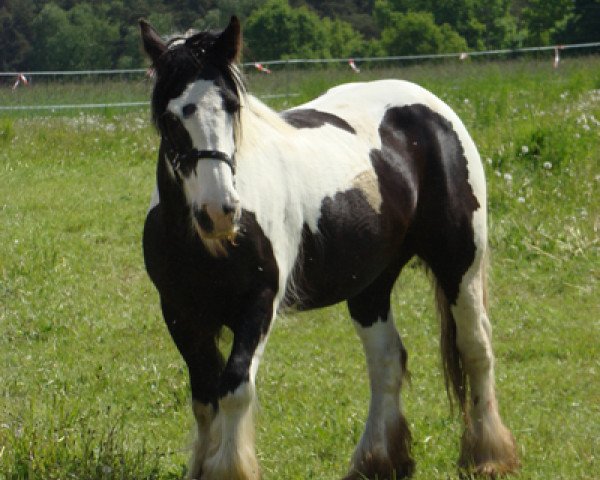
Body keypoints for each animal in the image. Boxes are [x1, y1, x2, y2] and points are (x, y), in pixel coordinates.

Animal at [138, 15, 516, 480]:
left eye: (231, 106)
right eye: (171, 117)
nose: (220, 212)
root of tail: (433, 110)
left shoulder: (258, 304)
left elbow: (234, 389)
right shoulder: (180, 312)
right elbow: (204, 398)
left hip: (459, 264)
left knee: (475, 348)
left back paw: (487, 455)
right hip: (371, 286)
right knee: (387, 361)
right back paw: (378, 460)